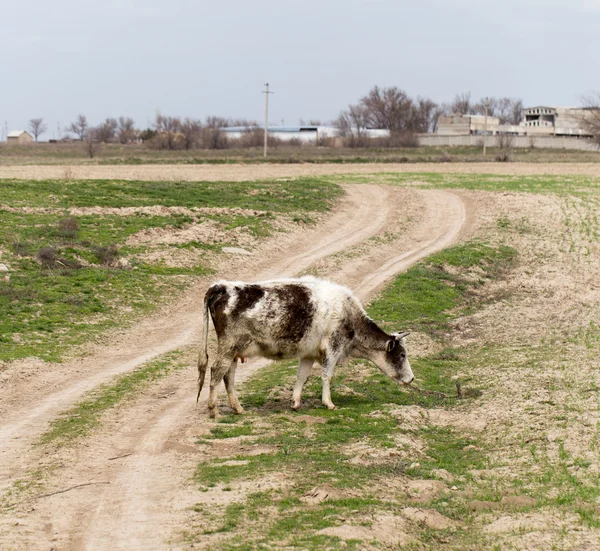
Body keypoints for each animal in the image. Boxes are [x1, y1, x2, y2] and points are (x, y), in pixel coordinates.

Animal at [197, 276, 412, 418]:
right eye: (402, 355)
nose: (411, 378)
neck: (348, 314)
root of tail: (222, 286)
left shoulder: (309, 353)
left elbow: (302, 376)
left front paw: (295, 402)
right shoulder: (333, 348)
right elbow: (326, 376)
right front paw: (329, 403)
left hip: (234, 351)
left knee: (228, 376)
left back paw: (238, 408)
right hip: (228, 346)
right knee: (217, 371)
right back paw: (213, 409)